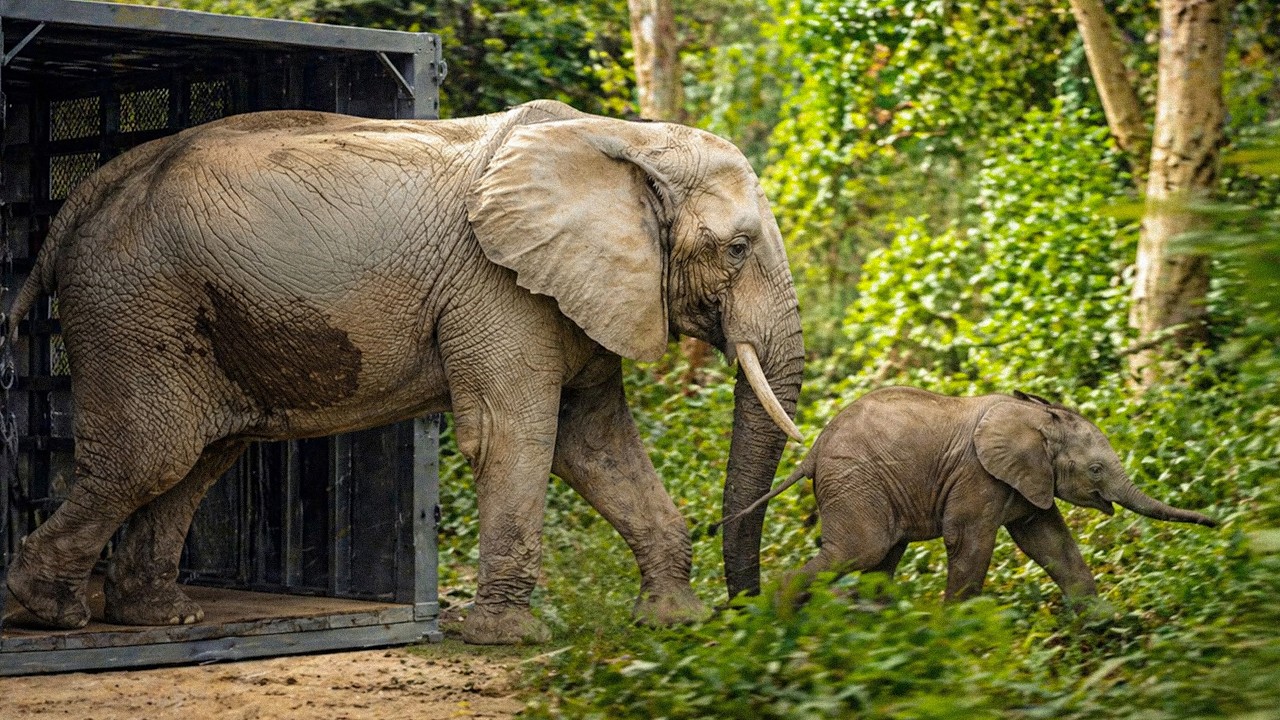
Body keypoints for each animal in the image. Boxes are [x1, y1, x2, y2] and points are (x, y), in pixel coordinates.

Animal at [4, 99, 804, 643]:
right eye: (737, 248)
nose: (746, 611)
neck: (630, 139)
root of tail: (88, 191)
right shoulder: (496, 283)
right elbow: (517, 435)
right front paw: (510, 640)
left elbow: (596, 442)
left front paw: (673, 622)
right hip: (133, 302)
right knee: (150, 457)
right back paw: (54, 615)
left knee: (198, 459)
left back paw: (163, 616)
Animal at [728, 387, 1217, 602]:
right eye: (1095, 469)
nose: (1218, 523)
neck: (1035, 415)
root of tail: (812, 450)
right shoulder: (979, 476)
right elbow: (969, 542)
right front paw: (955, 633)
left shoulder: (1026, 482)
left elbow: (1050, 542)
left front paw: (1101, 625)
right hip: (853, 480)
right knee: (860, 550)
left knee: (881, 559)